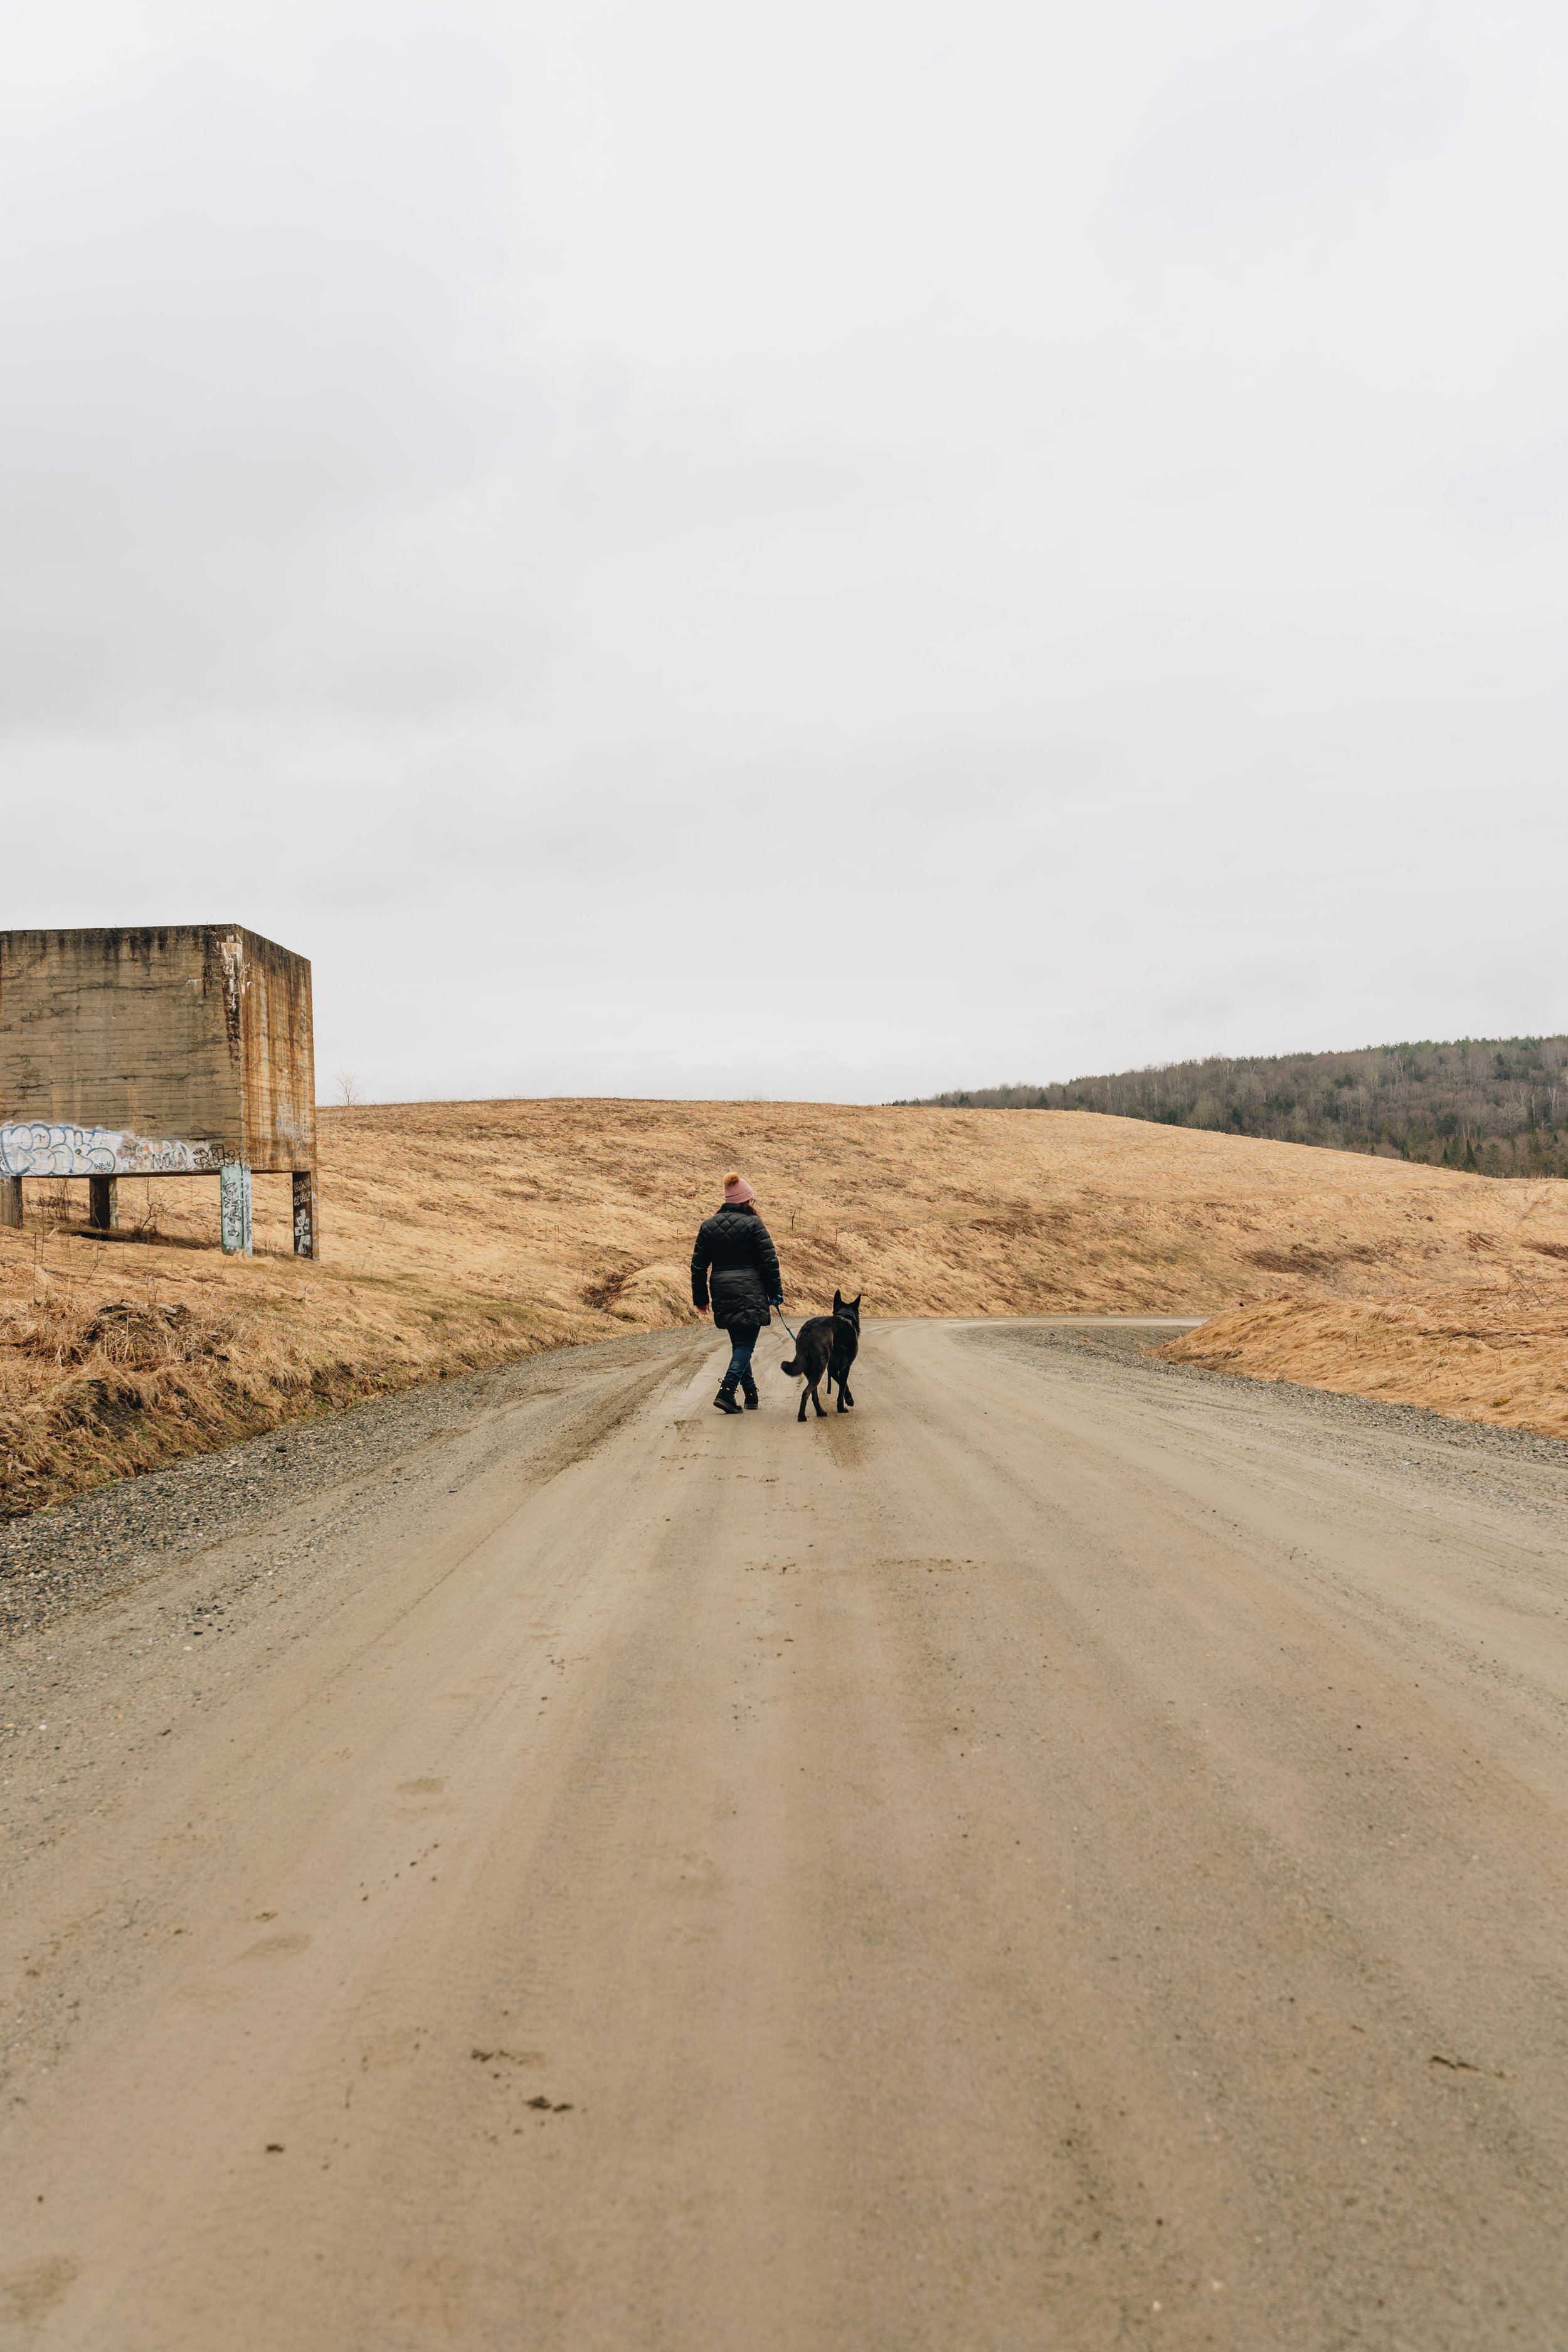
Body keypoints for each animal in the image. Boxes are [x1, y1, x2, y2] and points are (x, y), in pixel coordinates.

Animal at [780, 1298, 865, 1421]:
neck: (845, 1316)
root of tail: (807, 1332)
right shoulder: (846, 1367)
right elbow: (842, 1387)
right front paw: (842, 1407)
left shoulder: (833, 1370)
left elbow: (842, 1384)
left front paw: (849, 1399)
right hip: (820, 1368)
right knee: (806, 1392)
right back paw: (802, 1417)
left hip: (811, 1371)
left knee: (814, 1395)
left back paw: (820, 1412)